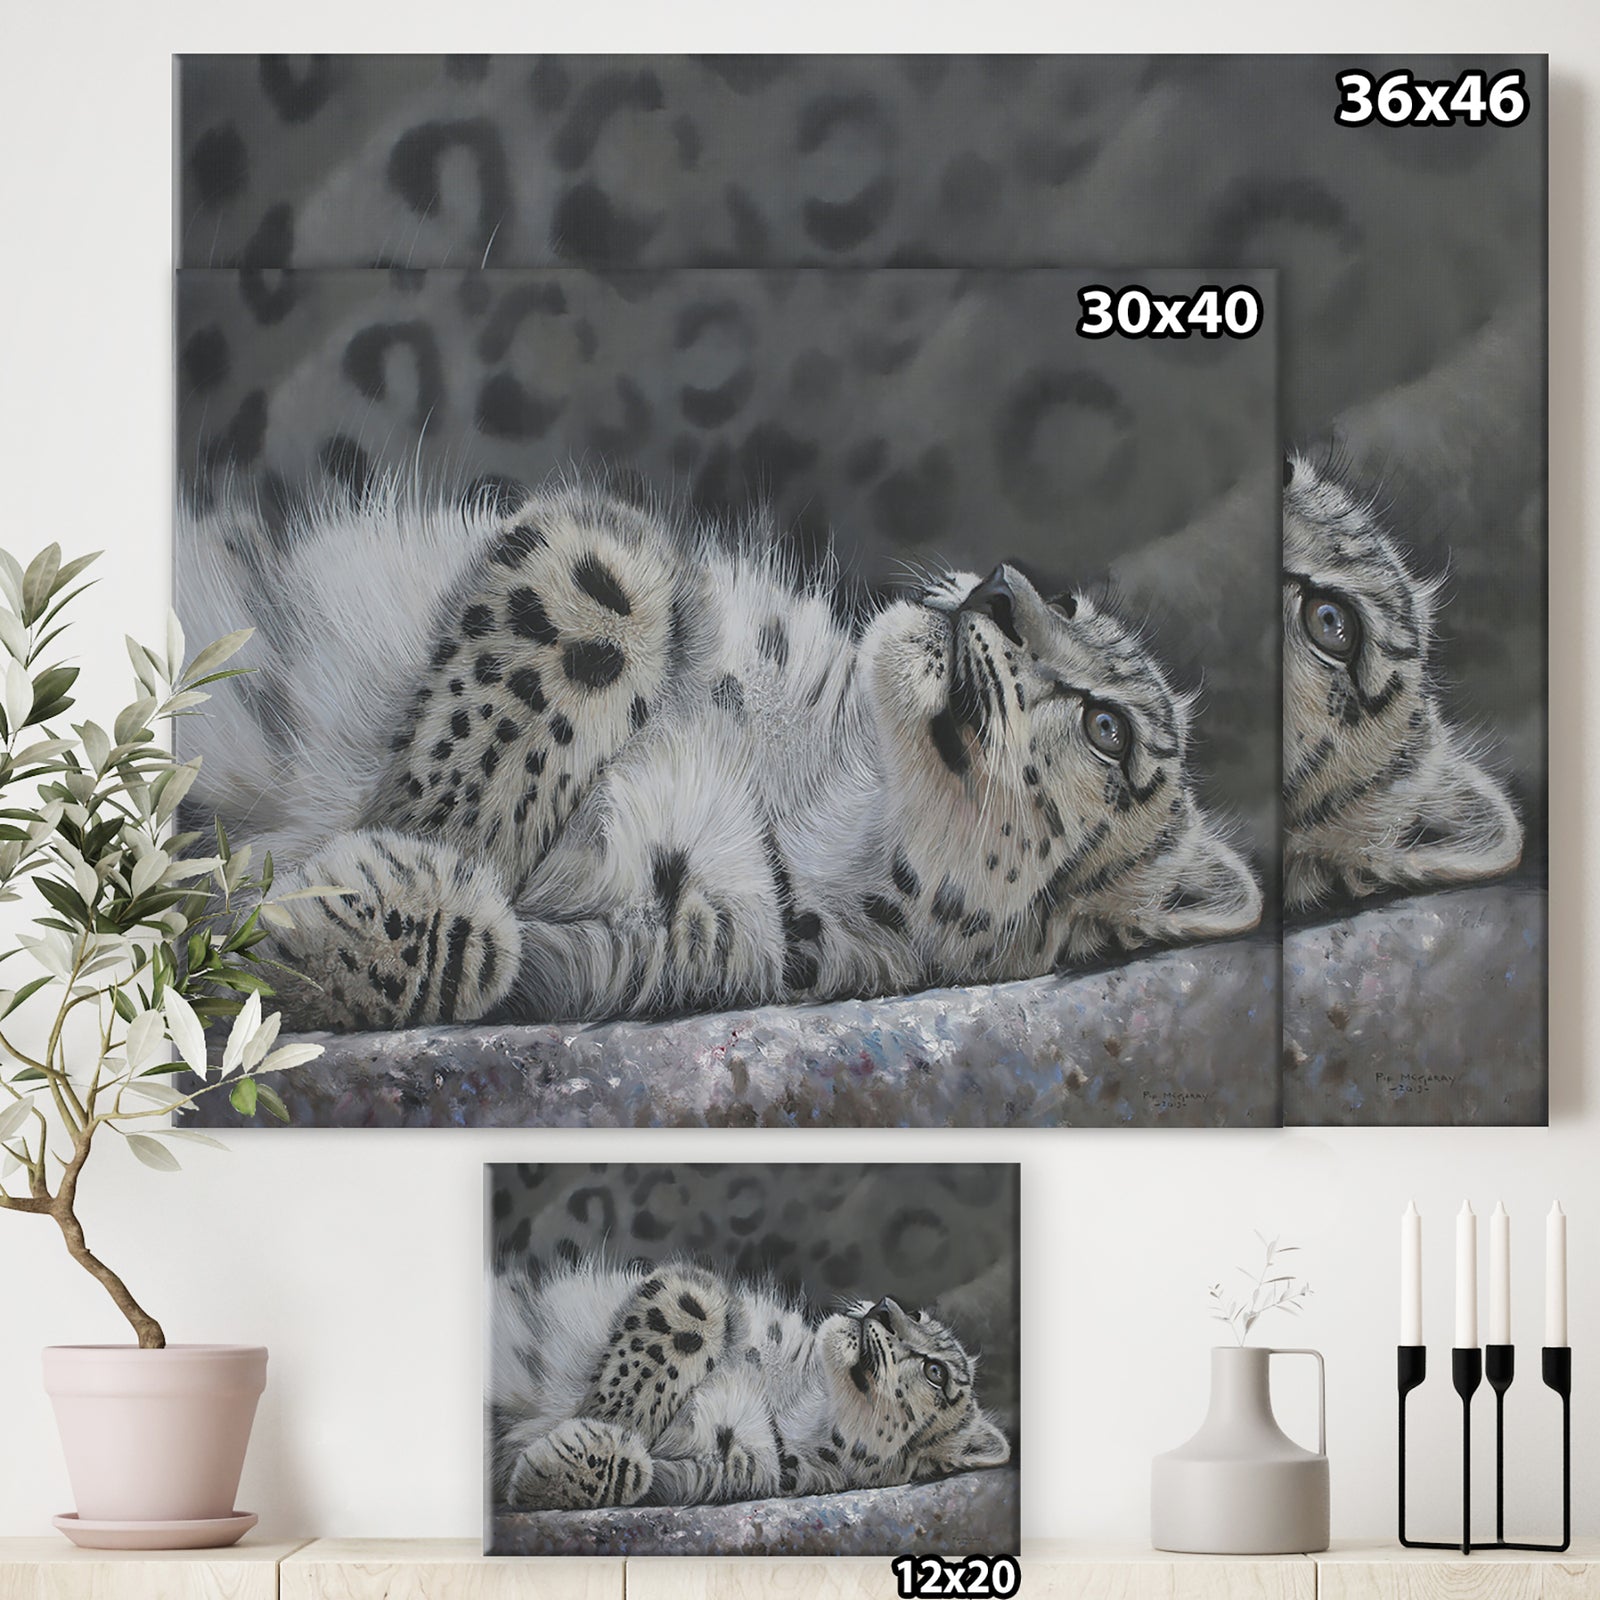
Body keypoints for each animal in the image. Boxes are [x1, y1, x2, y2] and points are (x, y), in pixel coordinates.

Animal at [180, 474, 1263, 1032]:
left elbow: (490, 950)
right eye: (1063, 598)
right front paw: (438, 824)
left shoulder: (636, 939)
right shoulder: (620, 547)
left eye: (1111, 731)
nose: (997, 587)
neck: (820, 791)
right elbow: (600, 596)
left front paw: (367, 877)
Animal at [489, 1253, 1010, 1510]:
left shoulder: (712, 1469)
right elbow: (692, 1313)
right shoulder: (700, 1289)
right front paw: (611, 1414)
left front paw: (584, 1439)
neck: (798, 1401)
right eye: (915, 1313)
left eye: (937, 1372)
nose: (883, 1306)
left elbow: (640, 1471)